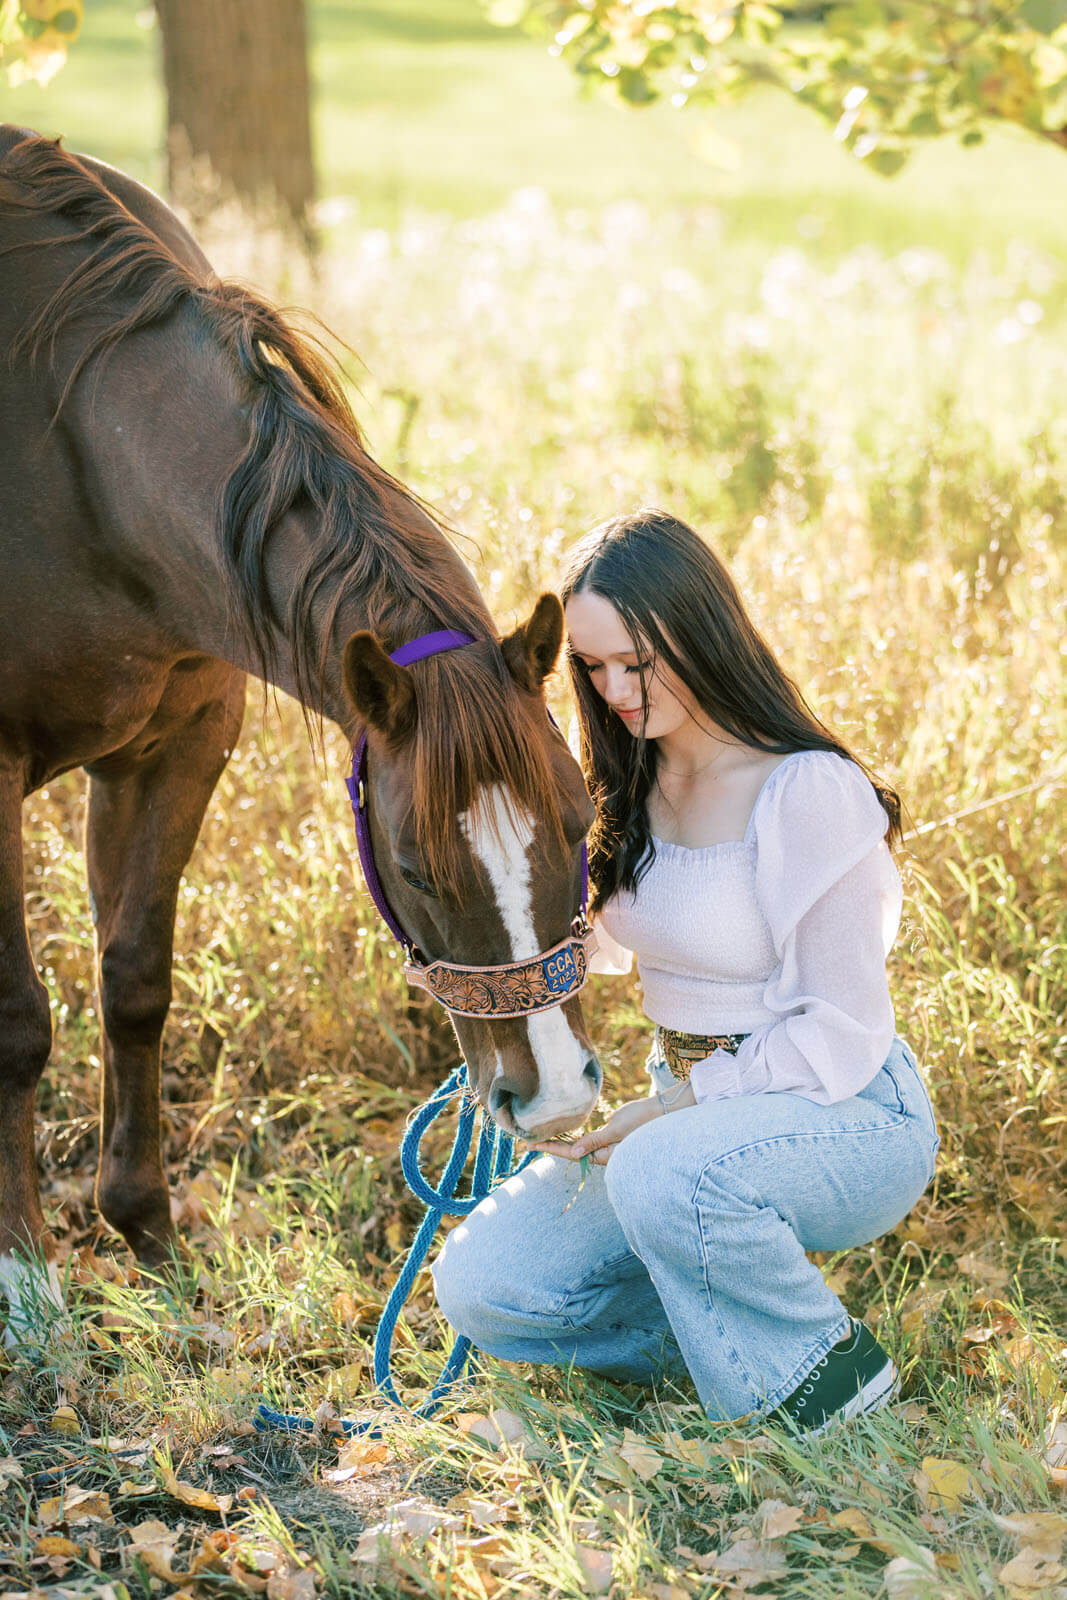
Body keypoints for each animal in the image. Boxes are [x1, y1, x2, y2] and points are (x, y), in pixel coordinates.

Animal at [0, 126, 600, 1339]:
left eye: (581, 822)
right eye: (413, 866)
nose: (557, 1099)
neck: (78, 458)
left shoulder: (179, 743)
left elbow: (136, 981)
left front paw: (150, 1238)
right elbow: (16, 1024)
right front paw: (28, 1288)